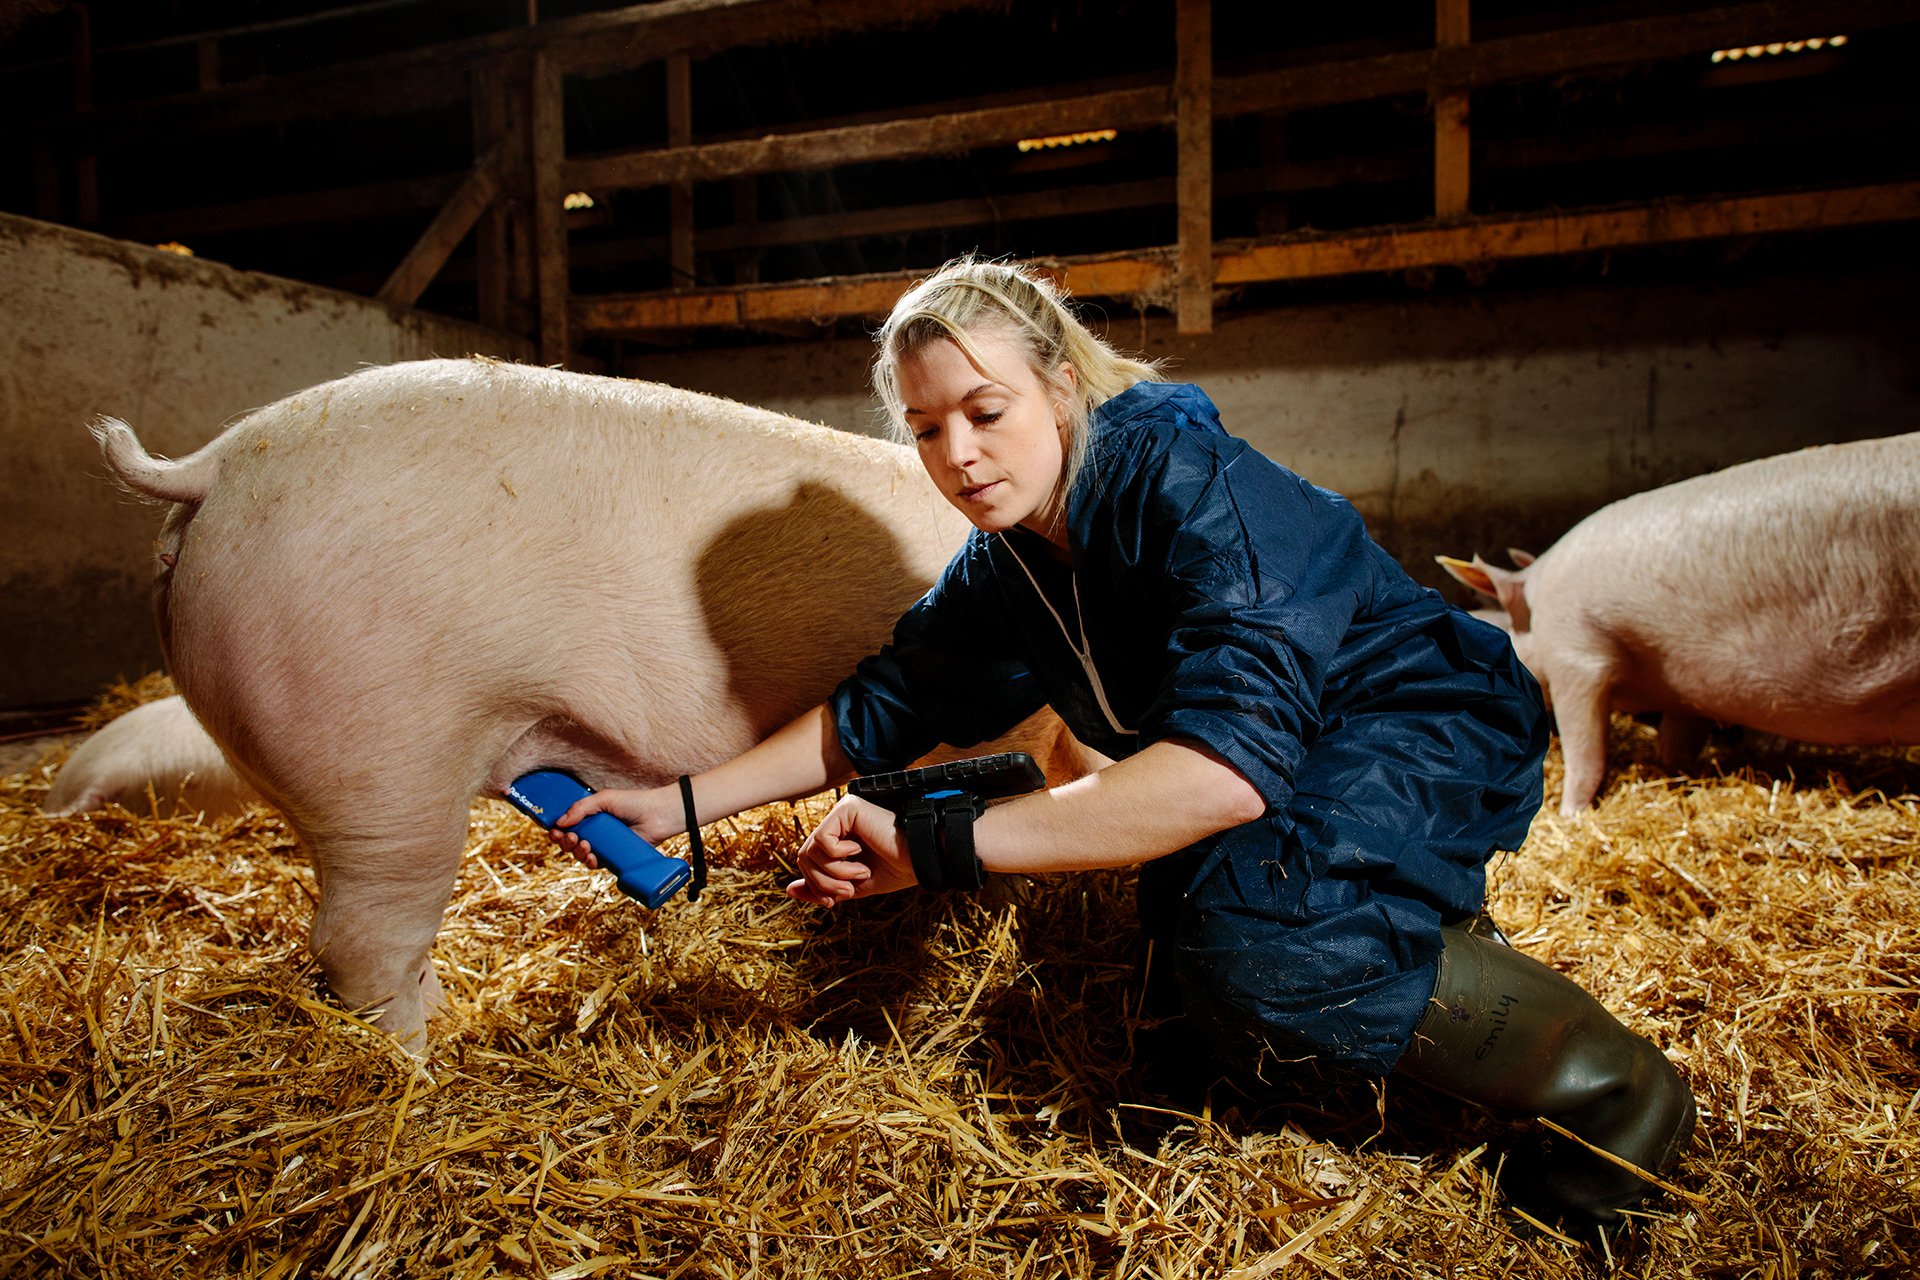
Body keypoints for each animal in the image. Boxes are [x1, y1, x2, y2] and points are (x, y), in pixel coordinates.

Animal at [1443, 427, 1920, 809]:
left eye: (1492, 624)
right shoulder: (1687, 688)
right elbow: (1675, 744)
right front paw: (1673, 774)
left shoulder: (1579, 658)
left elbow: (1586, 750)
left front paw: (1570, 813)